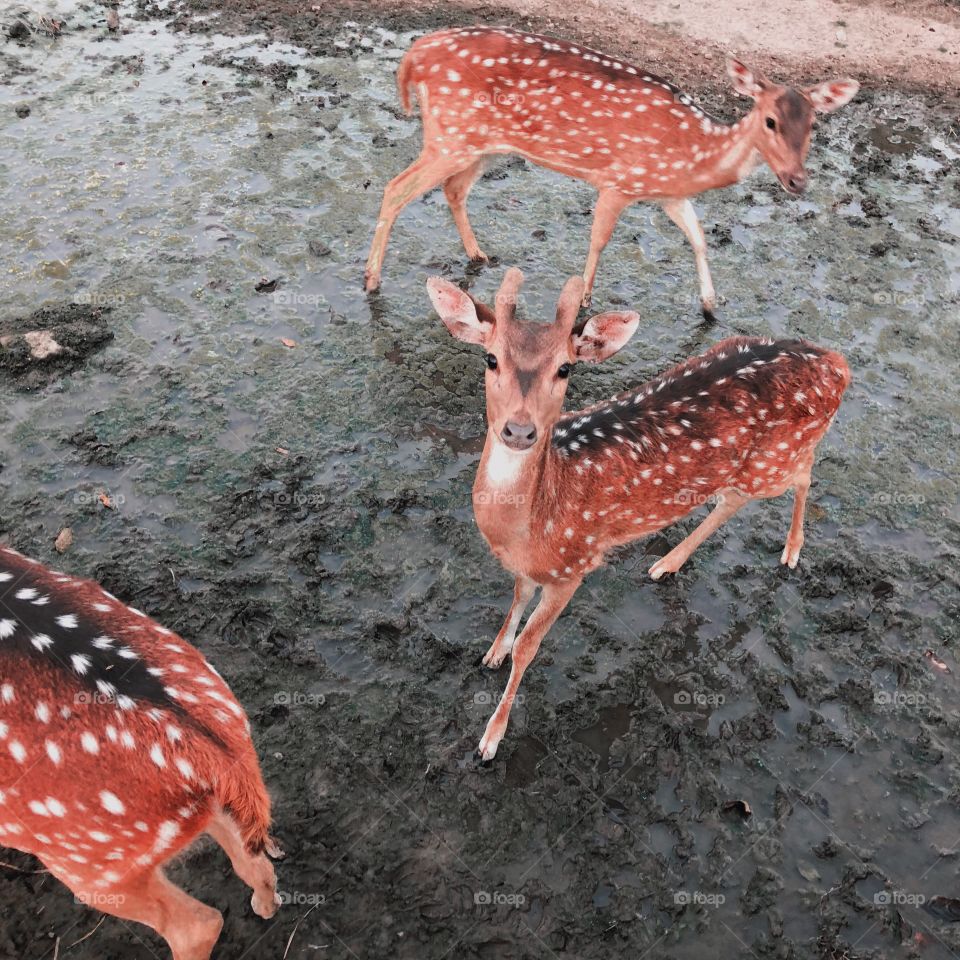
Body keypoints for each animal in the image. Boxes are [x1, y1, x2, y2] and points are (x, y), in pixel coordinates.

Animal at [366, 26, 859, 318]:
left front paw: (710, 306)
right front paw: (583, 302)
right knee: (395, 187)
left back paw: (479, 255)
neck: (691, 154)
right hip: (451, 135)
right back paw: (371, 281)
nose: (797, 180)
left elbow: (698, 238)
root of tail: (413, 56)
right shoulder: (620, 181)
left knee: (453, 189)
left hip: (480, 145)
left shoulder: (669, 193)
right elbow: (599, 239)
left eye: (813, 124)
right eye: (771, 121)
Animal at [427, 268, 850, 760]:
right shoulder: (533, 566)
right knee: (732, 498)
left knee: (804, 473)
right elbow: (515, 601)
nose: (518, 430)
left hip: (775, 462)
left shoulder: (574, 564)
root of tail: (838, 363)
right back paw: (667, 563)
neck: (528, 527)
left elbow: (529, 648)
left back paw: (792, 550)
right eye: (491, 358)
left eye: (565, 367)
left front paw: (491, 738)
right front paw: (493, 650)